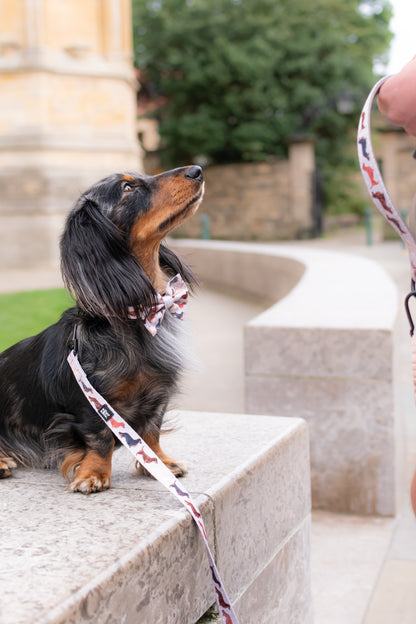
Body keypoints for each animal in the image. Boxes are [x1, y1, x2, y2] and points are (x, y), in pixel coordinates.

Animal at [0, 165, 203, 492]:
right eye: (127, 189)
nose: (197, 170)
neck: (138, 317)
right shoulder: (91, 399)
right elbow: (98, 436)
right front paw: (93, 474)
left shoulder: (158, 394)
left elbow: (152, 431)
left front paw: (161, 463)